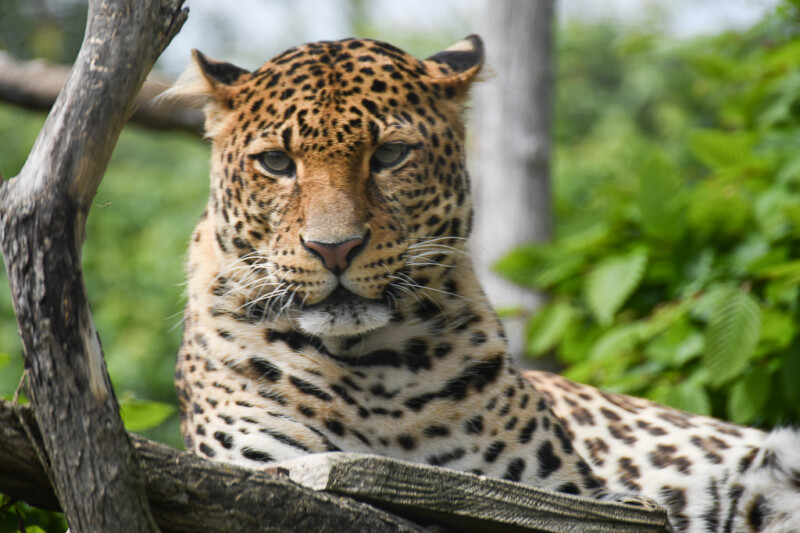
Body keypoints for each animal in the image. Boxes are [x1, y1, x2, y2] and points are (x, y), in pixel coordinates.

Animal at [167, 34, 800, 532]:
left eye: (390, 155)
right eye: (276, 163)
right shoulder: (269, 469)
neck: (374, 369)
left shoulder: (570, 499)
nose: (335, 248)